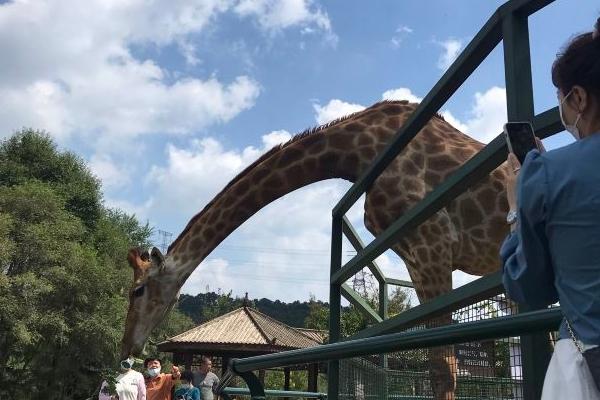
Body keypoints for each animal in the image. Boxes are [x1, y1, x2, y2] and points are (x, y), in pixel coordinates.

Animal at [120, 99, 510, 396]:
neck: (357, 150)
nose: (128, 349)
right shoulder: (416, 256)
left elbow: (443, 370)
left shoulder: (434, 244)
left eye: (137, 290)